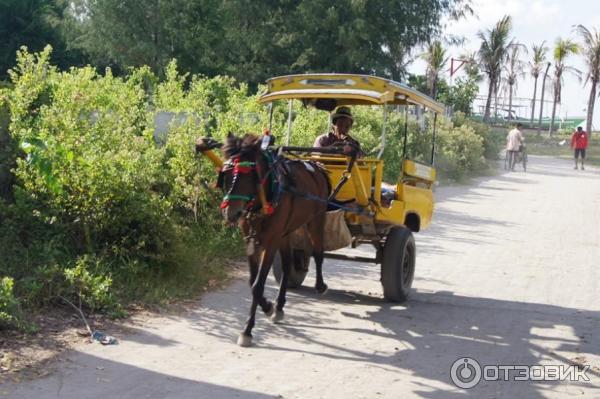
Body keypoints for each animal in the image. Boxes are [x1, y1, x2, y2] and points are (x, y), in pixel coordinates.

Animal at [198, 134, 330, 346]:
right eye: (226, 174)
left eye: (248, 175)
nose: (230, 213)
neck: (264, 198)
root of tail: (315, 166)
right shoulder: (252, 241)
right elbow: (253, 282)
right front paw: (268, 307)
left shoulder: (270, 243)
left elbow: (258, 285)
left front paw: (247, 330)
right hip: (285, 232)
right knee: (287, 263)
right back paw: (280, 306)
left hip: (316, 219)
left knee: (318, 252)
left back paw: (320, 285)